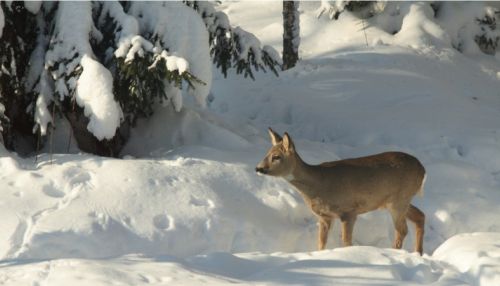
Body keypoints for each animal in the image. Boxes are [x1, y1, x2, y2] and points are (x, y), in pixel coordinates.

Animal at [258, 128, 426, 254]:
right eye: (266, 153)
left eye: (276, 157)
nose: (258, 168)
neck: (318, 184)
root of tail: (423, 169)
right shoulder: (325, 217)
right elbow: (321, 243)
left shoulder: (349, 211)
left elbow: (346, 242)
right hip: (399, 200)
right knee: (420, 216)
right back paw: (418, 253)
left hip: (398, 200)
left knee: (402, 230)